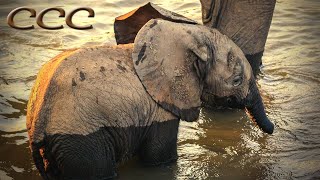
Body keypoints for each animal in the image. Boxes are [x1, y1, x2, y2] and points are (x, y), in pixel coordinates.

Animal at [26, 19, 274, 179]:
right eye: (237, 80)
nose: (272, 130)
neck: (188, 34)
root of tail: (39, 125)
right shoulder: (159, 109)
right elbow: (159, 157)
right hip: (81, 140)